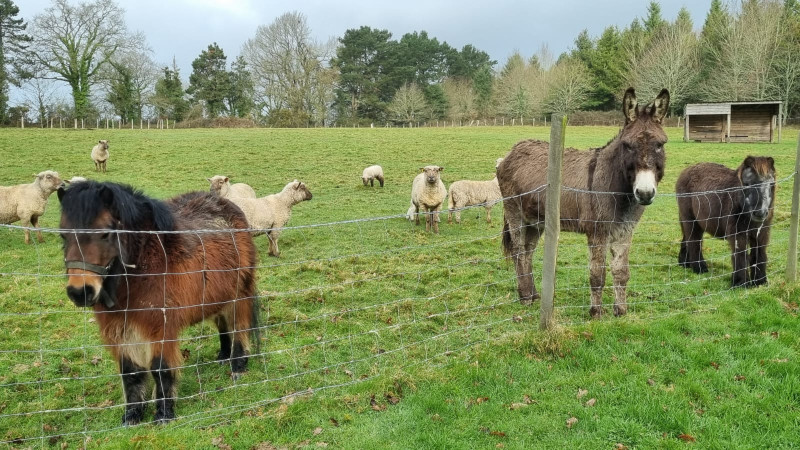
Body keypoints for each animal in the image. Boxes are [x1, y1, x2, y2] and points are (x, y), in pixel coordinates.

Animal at [57, 181, 258, 424]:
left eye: (105, 234)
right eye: (63, 236)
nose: (80, 292)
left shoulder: (160, 328)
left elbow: (160, 368)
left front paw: (164, 413)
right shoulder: (120, 329)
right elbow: (130, 372)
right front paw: (132, 415)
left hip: (240, 294)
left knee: (239, 326)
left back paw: (238, 364)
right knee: (223, 325)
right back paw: (223, 356)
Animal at [500, 88, 668, 318]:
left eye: (660, 145)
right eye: (627, 146)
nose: (644, 193)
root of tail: (512, 151)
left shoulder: (625, 232)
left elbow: (621, 272)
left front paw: (621, 312)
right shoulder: (597, 232)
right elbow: (597, 275)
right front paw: (596, 313)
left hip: (535, 220)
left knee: (527, 251)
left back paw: (533, 295)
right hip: (514, 212)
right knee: (518, 250)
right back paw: (525, 297)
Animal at [676, 156, 776, 286]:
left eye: (772, 184)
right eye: (747, 184)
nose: (760, 213)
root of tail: (685, 171)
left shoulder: (761, 233)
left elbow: (759, 253)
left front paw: (760, 281)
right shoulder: (738, 234)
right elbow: (740, 254)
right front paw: (741, 282)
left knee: (687, 239)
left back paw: (685, 263)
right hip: (690, 220)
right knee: (694, 241)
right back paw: (700, 268)